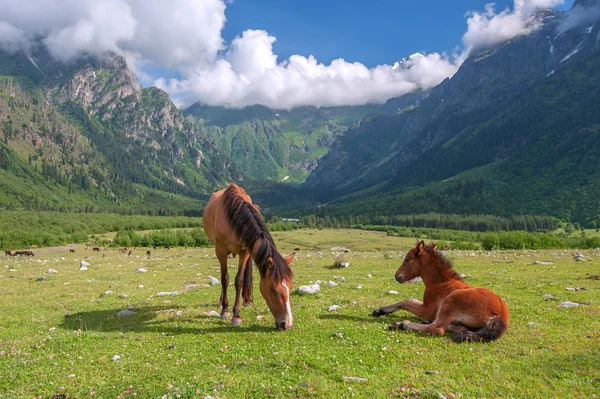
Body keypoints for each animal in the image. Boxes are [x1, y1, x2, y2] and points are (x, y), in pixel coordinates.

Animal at [203, 184, 294, 332]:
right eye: (273, 290)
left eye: (290, 287)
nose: (286, 324)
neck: (233, 216)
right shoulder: (221, 251)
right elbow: (225, 279)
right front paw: (226, 312)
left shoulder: (245, 251)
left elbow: (239, 280)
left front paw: (236, 315)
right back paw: (221, 303)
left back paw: (246, 301)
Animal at [372, 241, 508, 344]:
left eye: (407, 259)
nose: (397, 276)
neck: (440, 283)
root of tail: (501, 315)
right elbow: (410, 300)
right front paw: (379, 311)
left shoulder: (427, 310)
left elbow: (404, 302)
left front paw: (380, 311)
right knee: (460, 327)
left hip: (451, 300)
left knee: (437, 329)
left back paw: (401, 324)